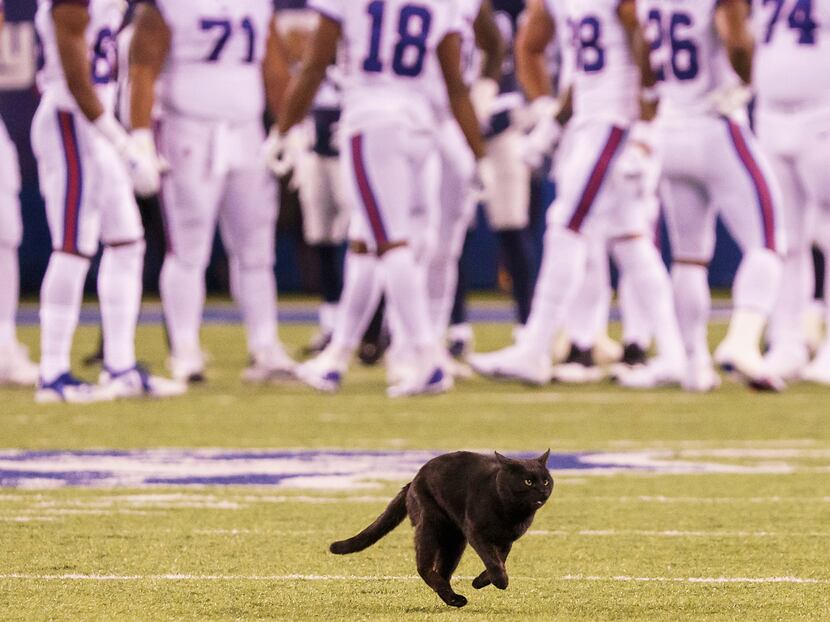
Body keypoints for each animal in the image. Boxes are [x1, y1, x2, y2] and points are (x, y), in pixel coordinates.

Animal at [330, 454, 552, 608]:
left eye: (546, 480)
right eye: (528, 482)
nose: (543, 490)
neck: (513, 513)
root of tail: (413, 479)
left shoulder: (506, 540)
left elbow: (500, 561)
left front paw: (480, 582)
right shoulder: (476, 533)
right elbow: (493, 561)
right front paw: (500, 582)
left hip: (453, 540)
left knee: (442, 571)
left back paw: (453, 599)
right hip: (430, 525)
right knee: (424, 566)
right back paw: (453, 597)